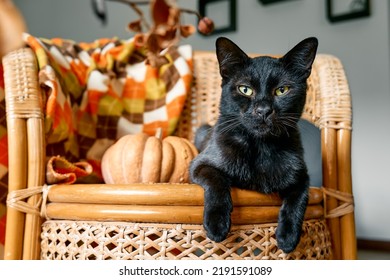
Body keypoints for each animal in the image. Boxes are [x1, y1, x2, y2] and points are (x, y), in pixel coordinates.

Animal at [190, 36, 320, 253]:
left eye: (282, 90)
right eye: (245, 89)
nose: (263, 110)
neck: (261, 148)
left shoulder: (302, 176)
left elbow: (298, 199)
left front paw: (287, 237)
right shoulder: (200, 165)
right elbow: (217, 180)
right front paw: (217, 224)